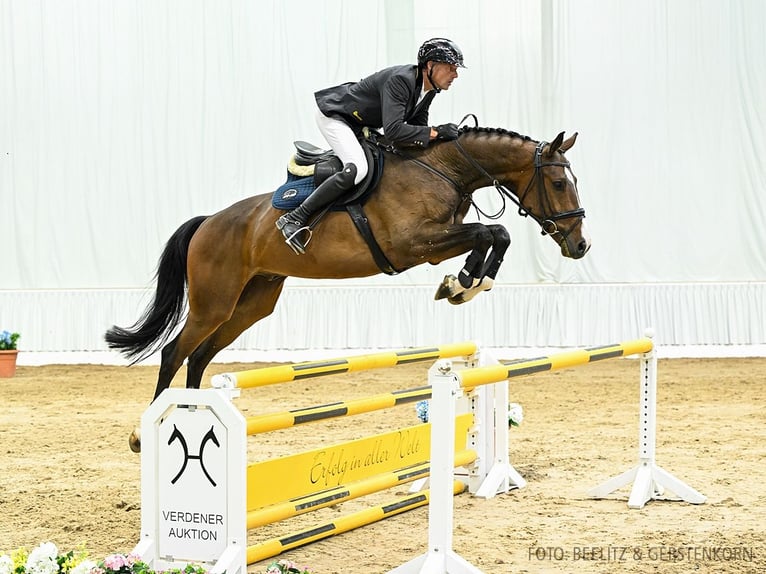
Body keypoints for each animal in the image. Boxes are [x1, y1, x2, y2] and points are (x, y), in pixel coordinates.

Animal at [105, 127, 592, 454]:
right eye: (558, 183)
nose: (580, 245)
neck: (443, 169)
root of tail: (209, 221)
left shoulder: (434, 242)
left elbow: (495, 234)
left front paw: (466, 284)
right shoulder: (415, 244)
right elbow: (489, 231)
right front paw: (463, 282)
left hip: (251, 303)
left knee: (201, 356)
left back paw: (192, 417)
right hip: (214, 301)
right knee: (176, 352)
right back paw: (143, 434)